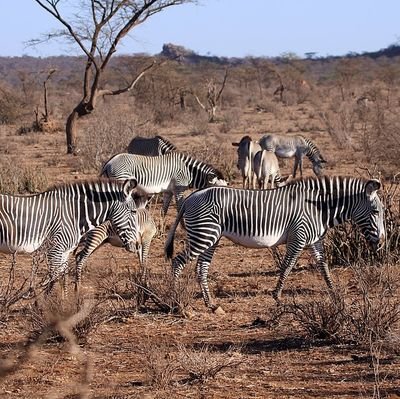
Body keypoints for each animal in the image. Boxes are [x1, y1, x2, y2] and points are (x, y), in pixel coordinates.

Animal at [0, 180, 142, 292]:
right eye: (134, 211)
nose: (138, 245)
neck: (75, 215)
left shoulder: (65, 251)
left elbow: (63, 278)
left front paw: (63, 305)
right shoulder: (55, 249)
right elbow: (53, 281)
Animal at [165, 177, 384, 310]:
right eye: (376, 212)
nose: (381, 243)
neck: (319, 209)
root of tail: (191, 197)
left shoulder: (315, 241)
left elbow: (323, 266)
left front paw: (333, 291)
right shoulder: (298, 236)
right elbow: (287, 266)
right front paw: (277, 295)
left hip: (211, 237)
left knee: (201, 268)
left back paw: (210, 304)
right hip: (204, 234)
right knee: (178, 261)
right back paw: (175, 300)